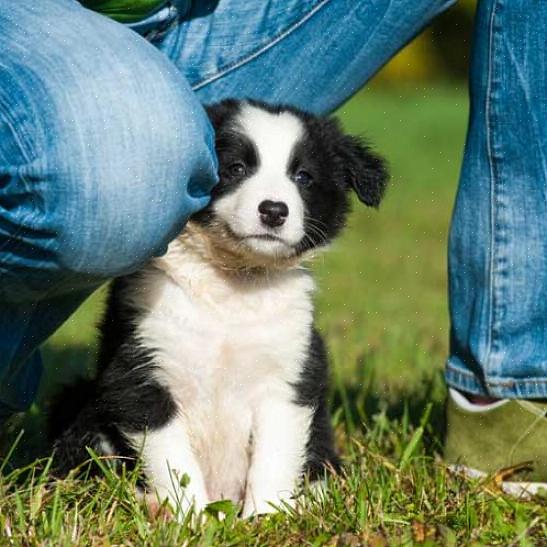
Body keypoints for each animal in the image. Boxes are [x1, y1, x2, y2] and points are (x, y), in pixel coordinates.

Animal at [49, 99, 388, 520]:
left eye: (304, 177)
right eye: (236, 168)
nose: (274, 210)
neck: (231, 286)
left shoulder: (289, 375)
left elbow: (275, 455)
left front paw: (266, 518)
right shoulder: (139, 371)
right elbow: (172, 458)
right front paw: (190, 518)